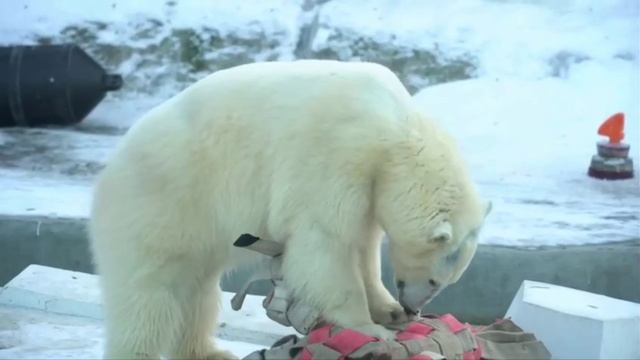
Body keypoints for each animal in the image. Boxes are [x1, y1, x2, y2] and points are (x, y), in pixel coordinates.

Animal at [90, 60, 490, 358]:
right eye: (436, 281)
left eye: (447, 282)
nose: (412, 308)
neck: (397, 132)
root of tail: (110, 167)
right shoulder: (336, 153)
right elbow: (325, 244)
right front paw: (370, 327)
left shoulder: (368, 183)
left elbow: (363, 245)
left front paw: (385, 308)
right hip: (160, 202)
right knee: (148, 293)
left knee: (196, 294)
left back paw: (209, 352)